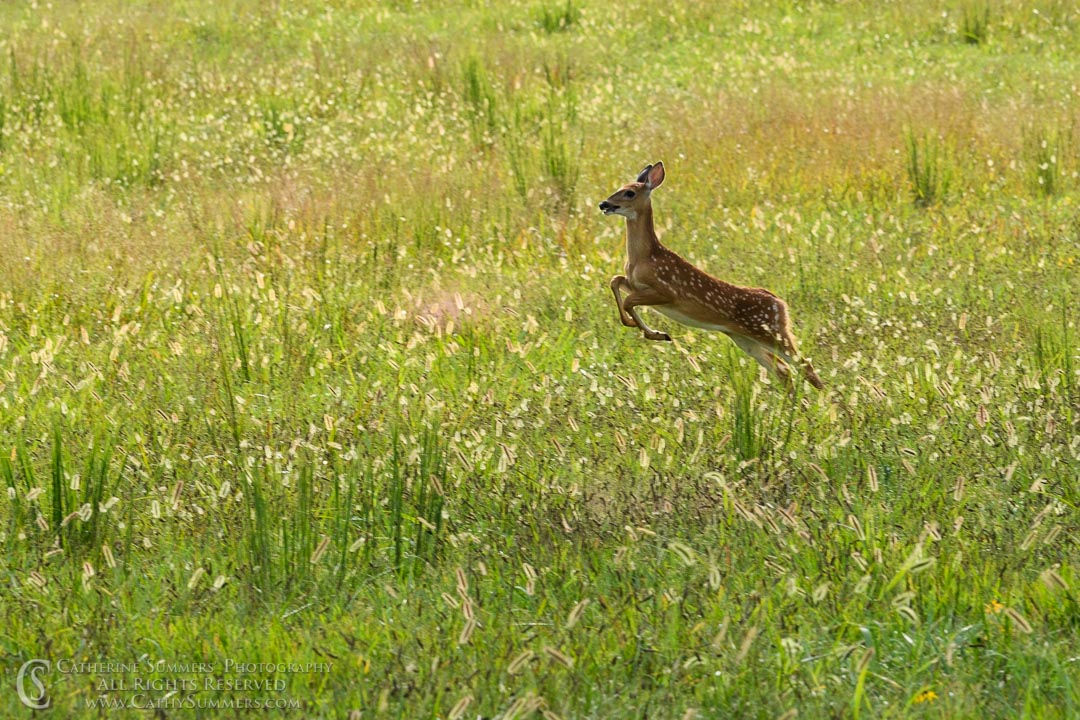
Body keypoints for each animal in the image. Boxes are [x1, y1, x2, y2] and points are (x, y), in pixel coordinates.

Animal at [599, 162, 824, 390]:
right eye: (619, 187)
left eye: (629, 192)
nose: (603, 204)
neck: (644, 256)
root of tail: (780, 304)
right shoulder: (635, 284)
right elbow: (615, 281)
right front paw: (640, 327)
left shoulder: (667, 292)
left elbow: (628, 300)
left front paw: (655, 334)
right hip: (744, 338)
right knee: (783, 370)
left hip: (769, 331)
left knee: (804, 364)